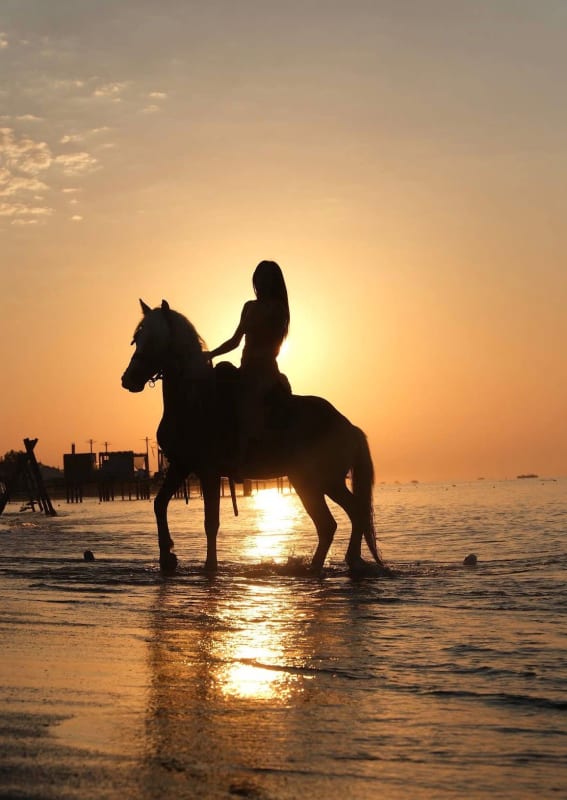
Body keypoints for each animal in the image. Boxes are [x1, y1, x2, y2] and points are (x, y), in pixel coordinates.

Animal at [121, 299, 390, 577]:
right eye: (137, 339)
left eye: (155, 340)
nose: (128, 379)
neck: (195, 401)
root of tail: (349, 426)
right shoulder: (181, 466)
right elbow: (159, 504)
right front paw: (167, 557)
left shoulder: (208, 472)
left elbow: (211, 521)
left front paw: (210, 567)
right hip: (314, 482)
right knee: (340, 519)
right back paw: (330, 564)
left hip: (321, 481)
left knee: (343, 516)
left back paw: (337, 563)